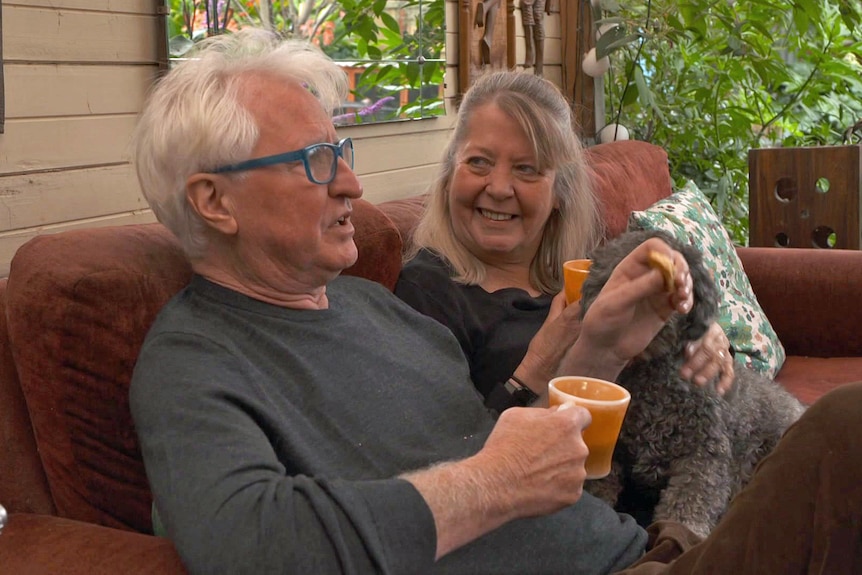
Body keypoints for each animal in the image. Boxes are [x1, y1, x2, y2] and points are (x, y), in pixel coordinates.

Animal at [580, 230, 808, 540]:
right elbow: (600, 490)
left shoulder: (702, 453)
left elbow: (687, 506)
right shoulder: (613, 453)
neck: (652, 376)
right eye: (617, 279)